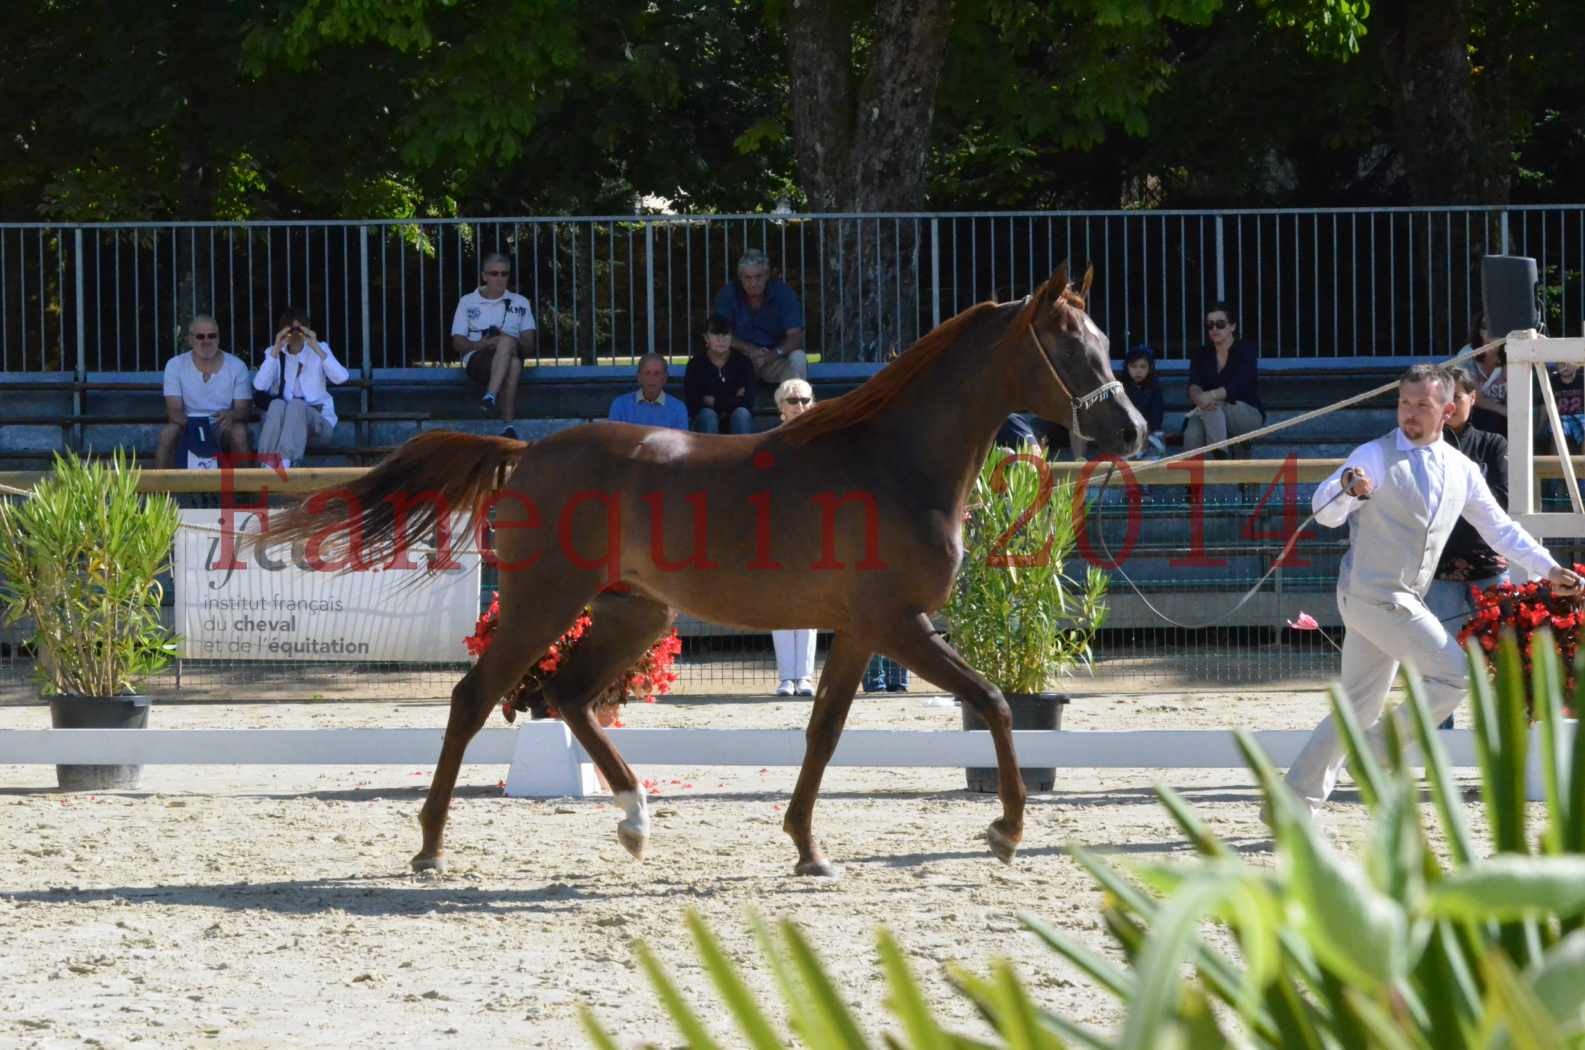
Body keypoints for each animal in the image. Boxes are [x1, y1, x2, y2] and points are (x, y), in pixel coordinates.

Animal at [266, 264, 1147, 881]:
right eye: (1069, 347)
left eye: (1105, 342)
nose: (1130, 429)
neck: (892, 460)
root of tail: (526, 450)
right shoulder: (899, 624)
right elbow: (994, 702)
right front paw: (1004, 830)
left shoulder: (861, 630)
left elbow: (825, 730)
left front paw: (807, 849)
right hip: (542, 604)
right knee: (475, 699)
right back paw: (431, 847)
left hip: (634, 613)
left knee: (568, 695)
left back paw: (633, 821)